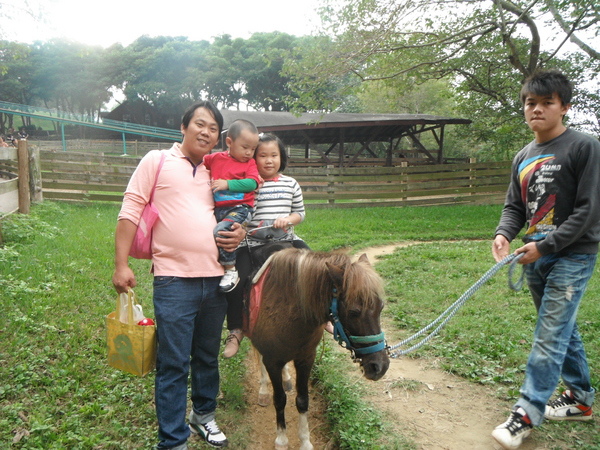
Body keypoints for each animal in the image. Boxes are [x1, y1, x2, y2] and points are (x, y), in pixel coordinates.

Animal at [244, 246, 390, 450]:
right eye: (354, 312)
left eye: (381, 307)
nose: (380, 366)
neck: (288, 309)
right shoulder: (273, 361)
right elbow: (279, 399)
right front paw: (281, 439)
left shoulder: (306, 359)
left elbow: (302, 400)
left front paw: (305, 441)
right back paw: (264, 390)